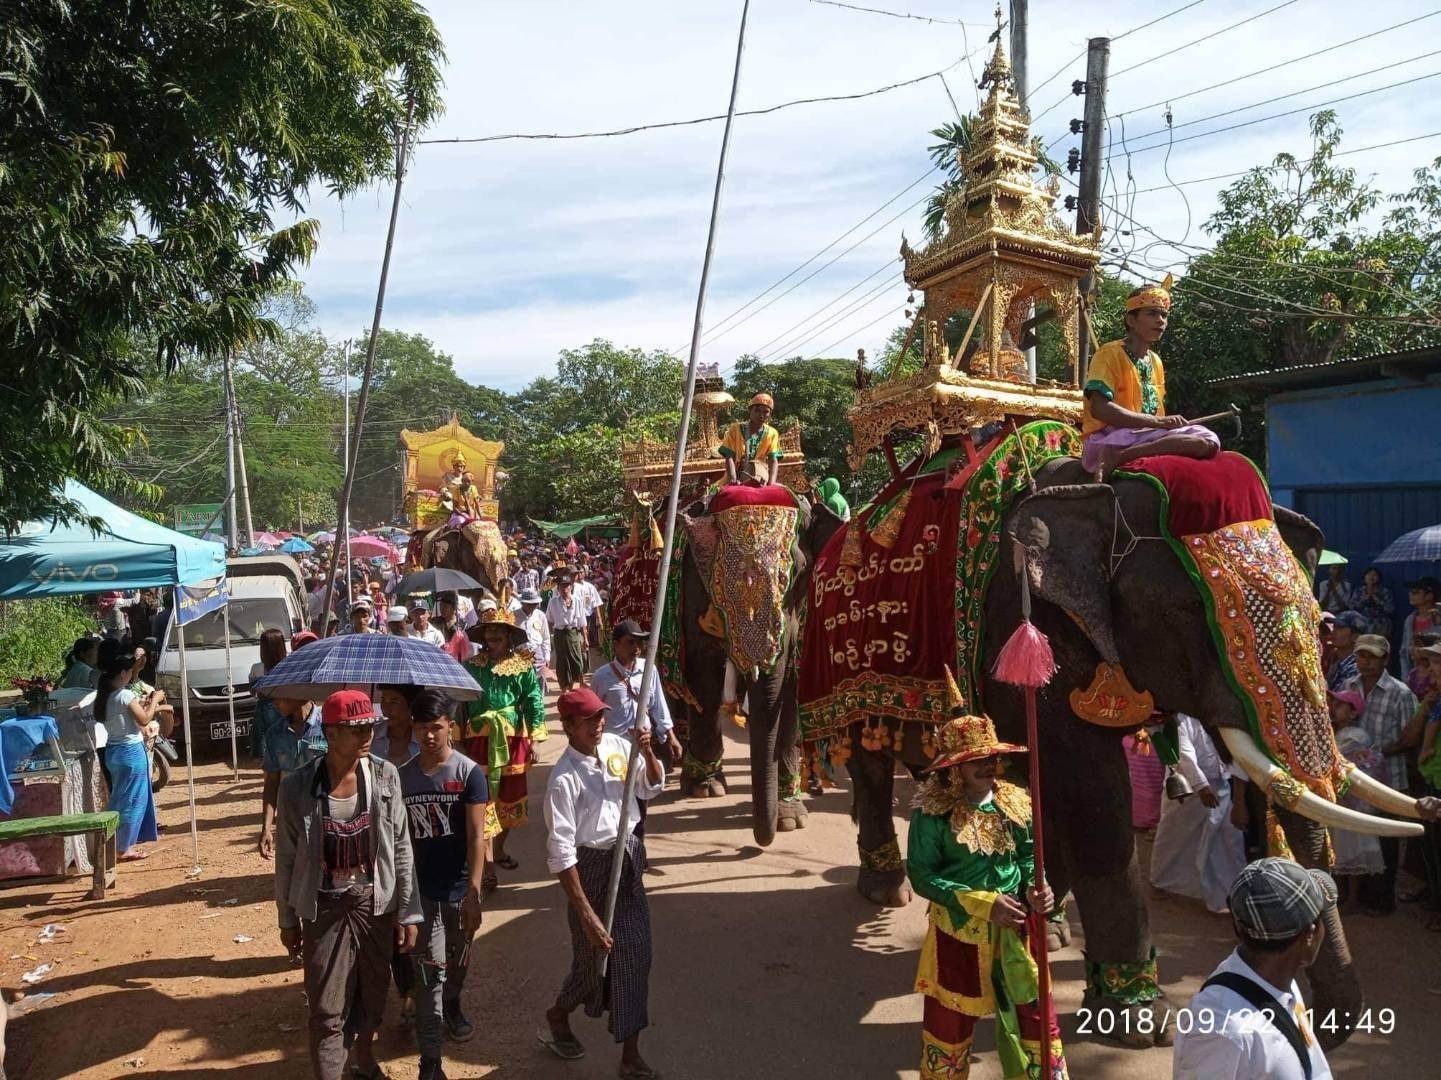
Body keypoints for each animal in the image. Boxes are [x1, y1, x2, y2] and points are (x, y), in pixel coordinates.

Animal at [801, 421, 1417, 1043]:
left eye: (1318, 617)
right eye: (1190, 609)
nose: (1317, 1018)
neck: (1097, 484)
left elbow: (1040, 789)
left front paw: (1041, 928)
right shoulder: (1019, 624)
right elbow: (1091, 792)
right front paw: (1137, 1021)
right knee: (871, 766)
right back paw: (888, 889)